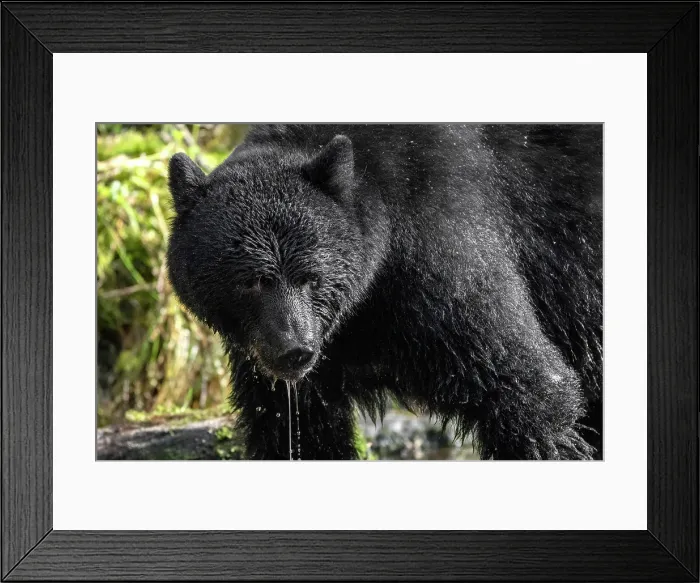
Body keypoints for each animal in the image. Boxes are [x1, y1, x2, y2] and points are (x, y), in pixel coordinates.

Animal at [166, 124, 602, 460]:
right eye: (253, 281)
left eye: (311, 277)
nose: (295, 350)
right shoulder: (276, 362)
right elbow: (294, 427)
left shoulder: (443, 249)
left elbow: (526, 383)